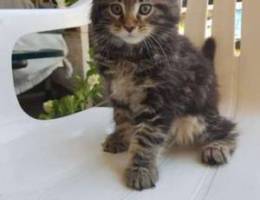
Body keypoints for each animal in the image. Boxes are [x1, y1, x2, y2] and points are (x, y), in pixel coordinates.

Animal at [91, 0, 238, 191]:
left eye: (145, 9)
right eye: (115, 9)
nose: (129, 26)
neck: (129, 55)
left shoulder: (159, 102)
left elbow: (146, 137)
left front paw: (140, 169)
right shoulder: (117, 93)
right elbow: (121, 118)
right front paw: (120, 138)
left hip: (197, 118)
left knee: (228, 127)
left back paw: (217, 147)